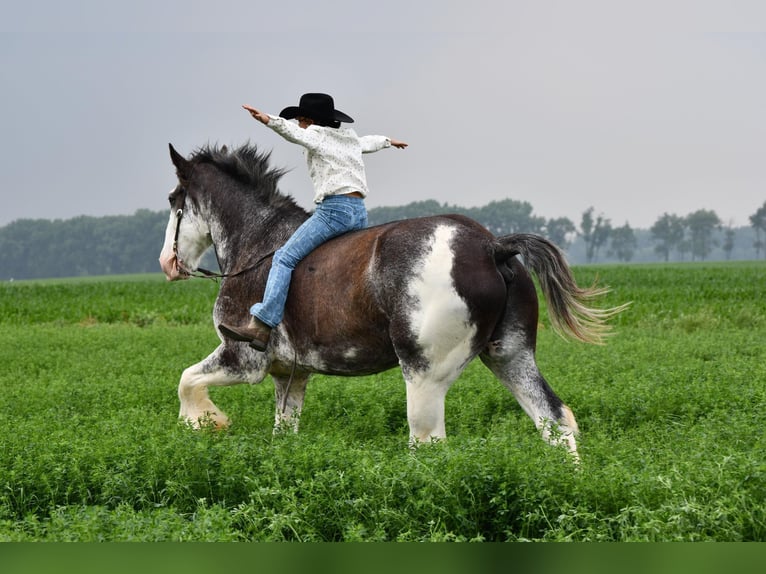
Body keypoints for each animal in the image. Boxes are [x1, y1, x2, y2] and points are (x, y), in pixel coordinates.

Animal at [159, 143, 628, 460]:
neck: (257, 244)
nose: (167, 263)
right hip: (510, 357)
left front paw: (207, 424)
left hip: (425, 375)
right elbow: (283, 429)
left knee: (428, 442)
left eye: (173, 200)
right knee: (555, 421)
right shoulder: (289, 375)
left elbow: (186, 381)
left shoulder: (243, 358)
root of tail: (492, 246)